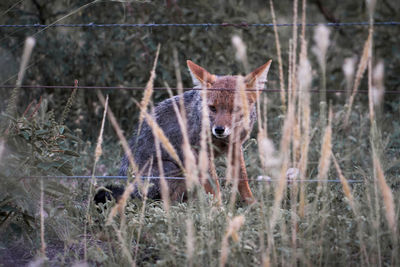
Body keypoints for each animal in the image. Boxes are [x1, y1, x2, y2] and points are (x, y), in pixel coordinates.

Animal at [94, 58, 272, 205]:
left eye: (235, 109)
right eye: (212, 108)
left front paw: (252, 204)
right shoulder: (201, 153)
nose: (219, 129)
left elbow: (243, 179)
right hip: (175, 168)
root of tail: (126, 184)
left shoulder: (235, 147)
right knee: (166, 202)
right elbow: (214, 187)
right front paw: (219, 212)